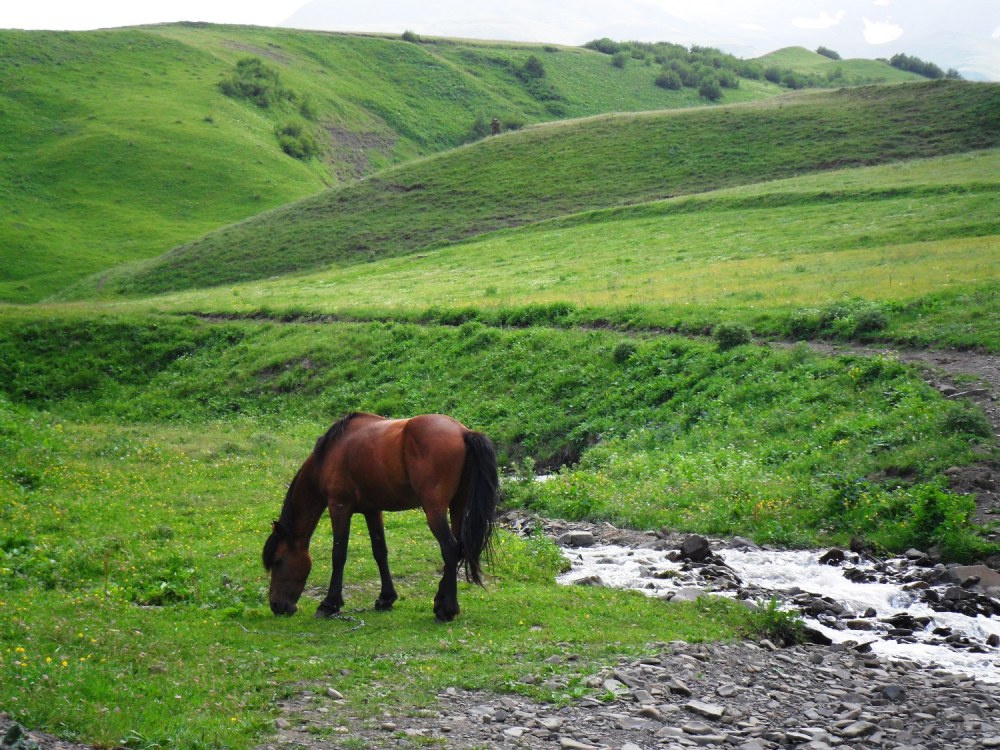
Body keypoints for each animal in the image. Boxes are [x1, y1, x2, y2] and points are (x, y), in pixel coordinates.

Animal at [262, 412, 499, 622]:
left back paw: (445, 610)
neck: (330, 454)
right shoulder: (372, 510)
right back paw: (441, 601)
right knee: (458, 548)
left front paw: (329, 604)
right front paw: (386, 598)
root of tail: (463, 432)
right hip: (457, 505)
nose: (276, 605)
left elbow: (339, 554)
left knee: (449, 548)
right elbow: (379, 552)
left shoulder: (339, 507)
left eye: (278, 561)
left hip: (435, 509)